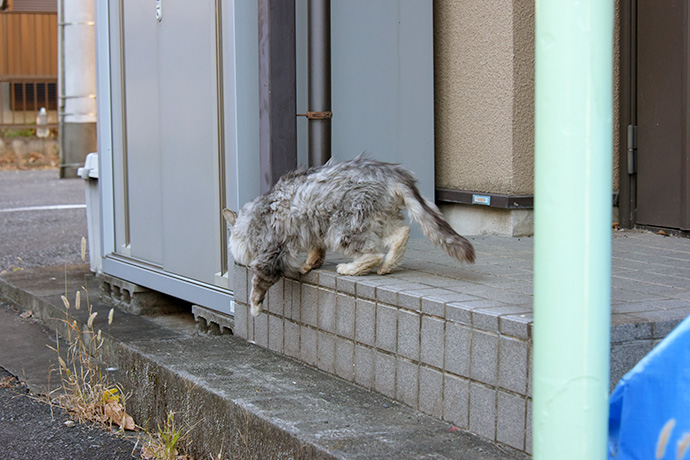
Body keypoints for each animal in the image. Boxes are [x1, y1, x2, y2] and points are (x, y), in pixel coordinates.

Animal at [222, 155, 472, 316]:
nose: (236, 260)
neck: (253, 218)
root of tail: (390, 173)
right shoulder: (313, 231)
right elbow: (316, 252)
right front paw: (308, 265)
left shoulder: (272, 251)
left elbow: (259, 283)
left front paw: (255, 308)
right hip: (378, 218)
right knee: (402, 234)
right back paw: (387, 266)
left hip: (344, 228)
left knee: (373, 254)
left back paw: (351, 268)